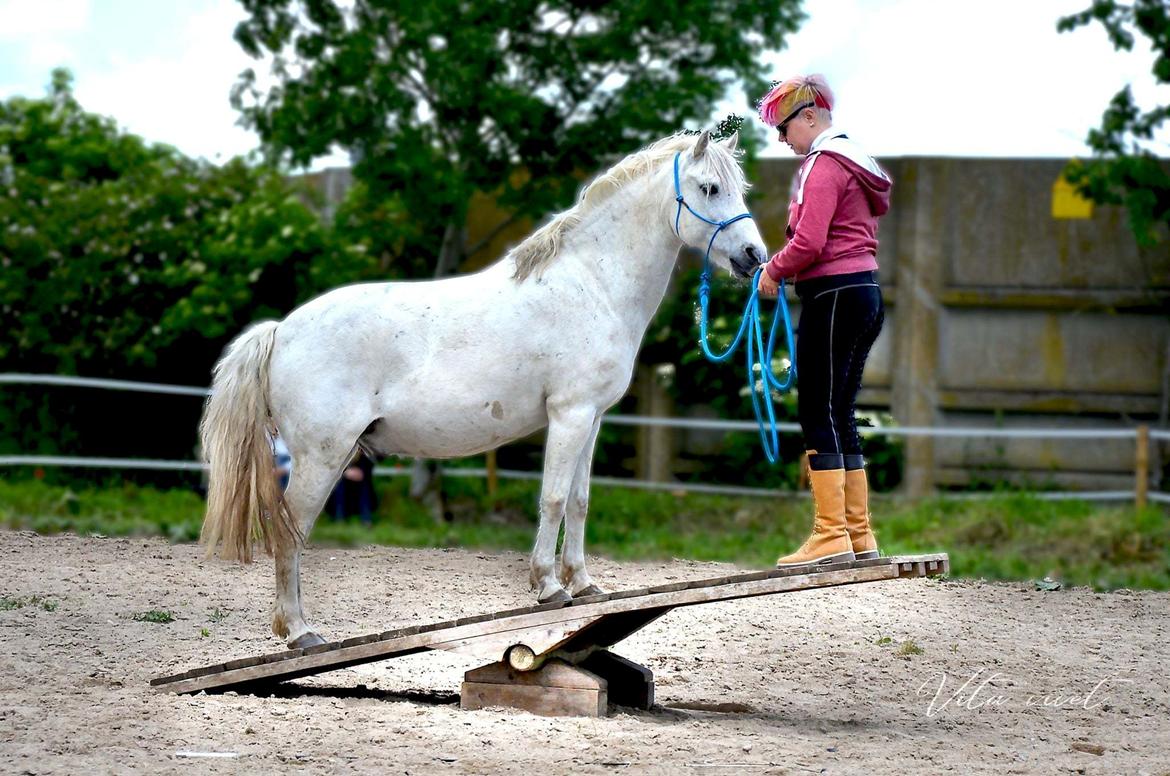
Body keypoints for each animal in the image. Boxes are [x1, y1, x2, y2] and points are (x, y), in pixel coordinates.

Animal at [201, 130, 767, 646]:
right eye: (710, 188)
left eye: (738, 188)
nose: (754, 255)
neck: (592, 284)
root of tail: (281, 330)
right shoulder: (569, 415)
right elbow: (554, 499)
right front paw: (548, 587)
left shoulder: (592, 419)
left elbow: (580, 501)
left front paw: (584, 584)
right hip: (322, 456)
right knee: (288, 531)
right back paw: (300, 633)